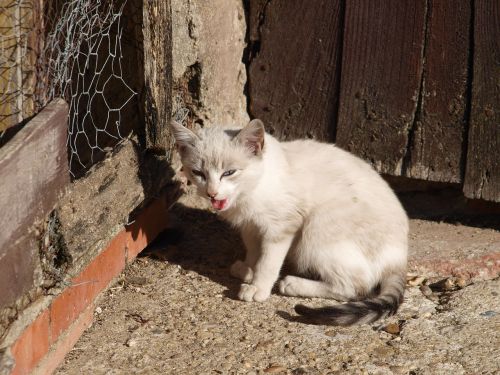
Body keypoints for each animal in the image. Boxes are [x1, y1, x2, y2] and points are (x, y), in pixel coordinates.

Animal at [170, 120, 408, 326]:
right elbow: (254, 250)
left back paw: (292, 284)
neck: (251, 190)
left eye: (229, 172)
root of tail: (399, 260)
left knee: (356, 286)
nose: (211, 193)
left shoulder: (281, 226)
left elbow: (268, 262)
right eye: (198, 173)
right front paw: (248, 269)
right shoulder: (250, 226)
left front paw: (258, 287)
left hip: (316, 229)